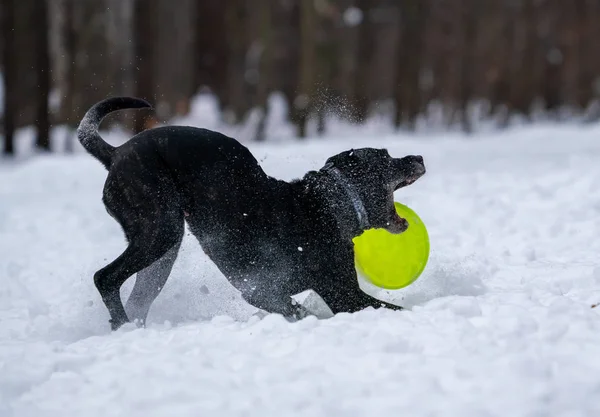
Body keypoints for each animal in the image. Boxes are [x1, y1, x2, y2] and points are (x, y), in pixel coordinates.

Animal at [78, 97, 426, 328]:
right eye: (385, 157)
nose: (419, 156)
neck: (327, 204)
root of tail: (115, 154)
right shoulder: (342, 295)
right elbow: (387, 309)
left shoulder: (271, 293)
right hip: (160, 229)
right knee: (104, 277)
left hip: (163, 253)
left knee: (137, 298)